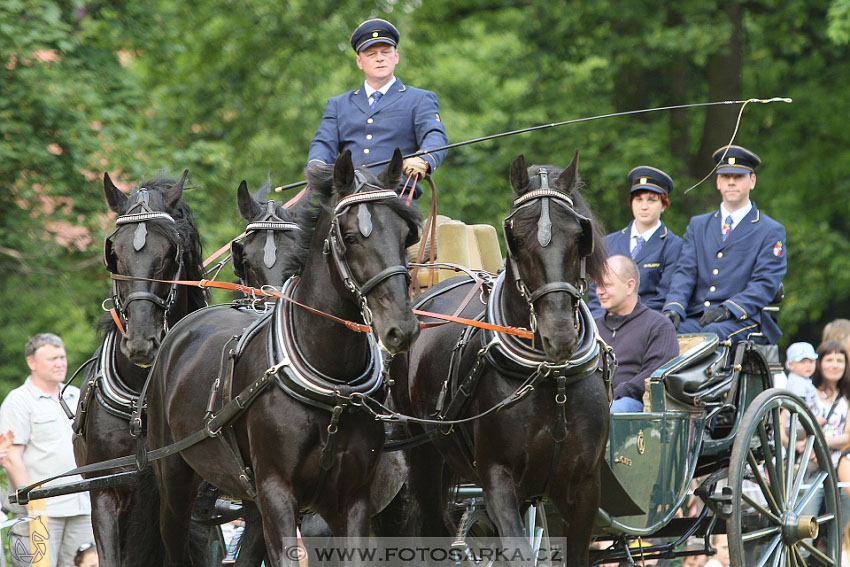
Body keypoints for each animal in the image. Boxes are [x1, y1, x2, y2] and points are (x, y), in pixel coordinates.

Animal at [147, 151, 422, 567]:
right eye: (350, 237)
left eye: (407, 235)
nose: (401, 328)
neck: (332, 382)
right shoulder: (276, 490)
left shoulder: (351, 498)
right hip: (175, 479)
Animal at [390, 153, 608, 564]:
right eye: (516, 238)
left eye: (579, 235)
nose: (558, 334)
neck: (549, 378)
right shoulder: (497, 478)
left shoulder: (585, 487)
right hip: (423, 455)